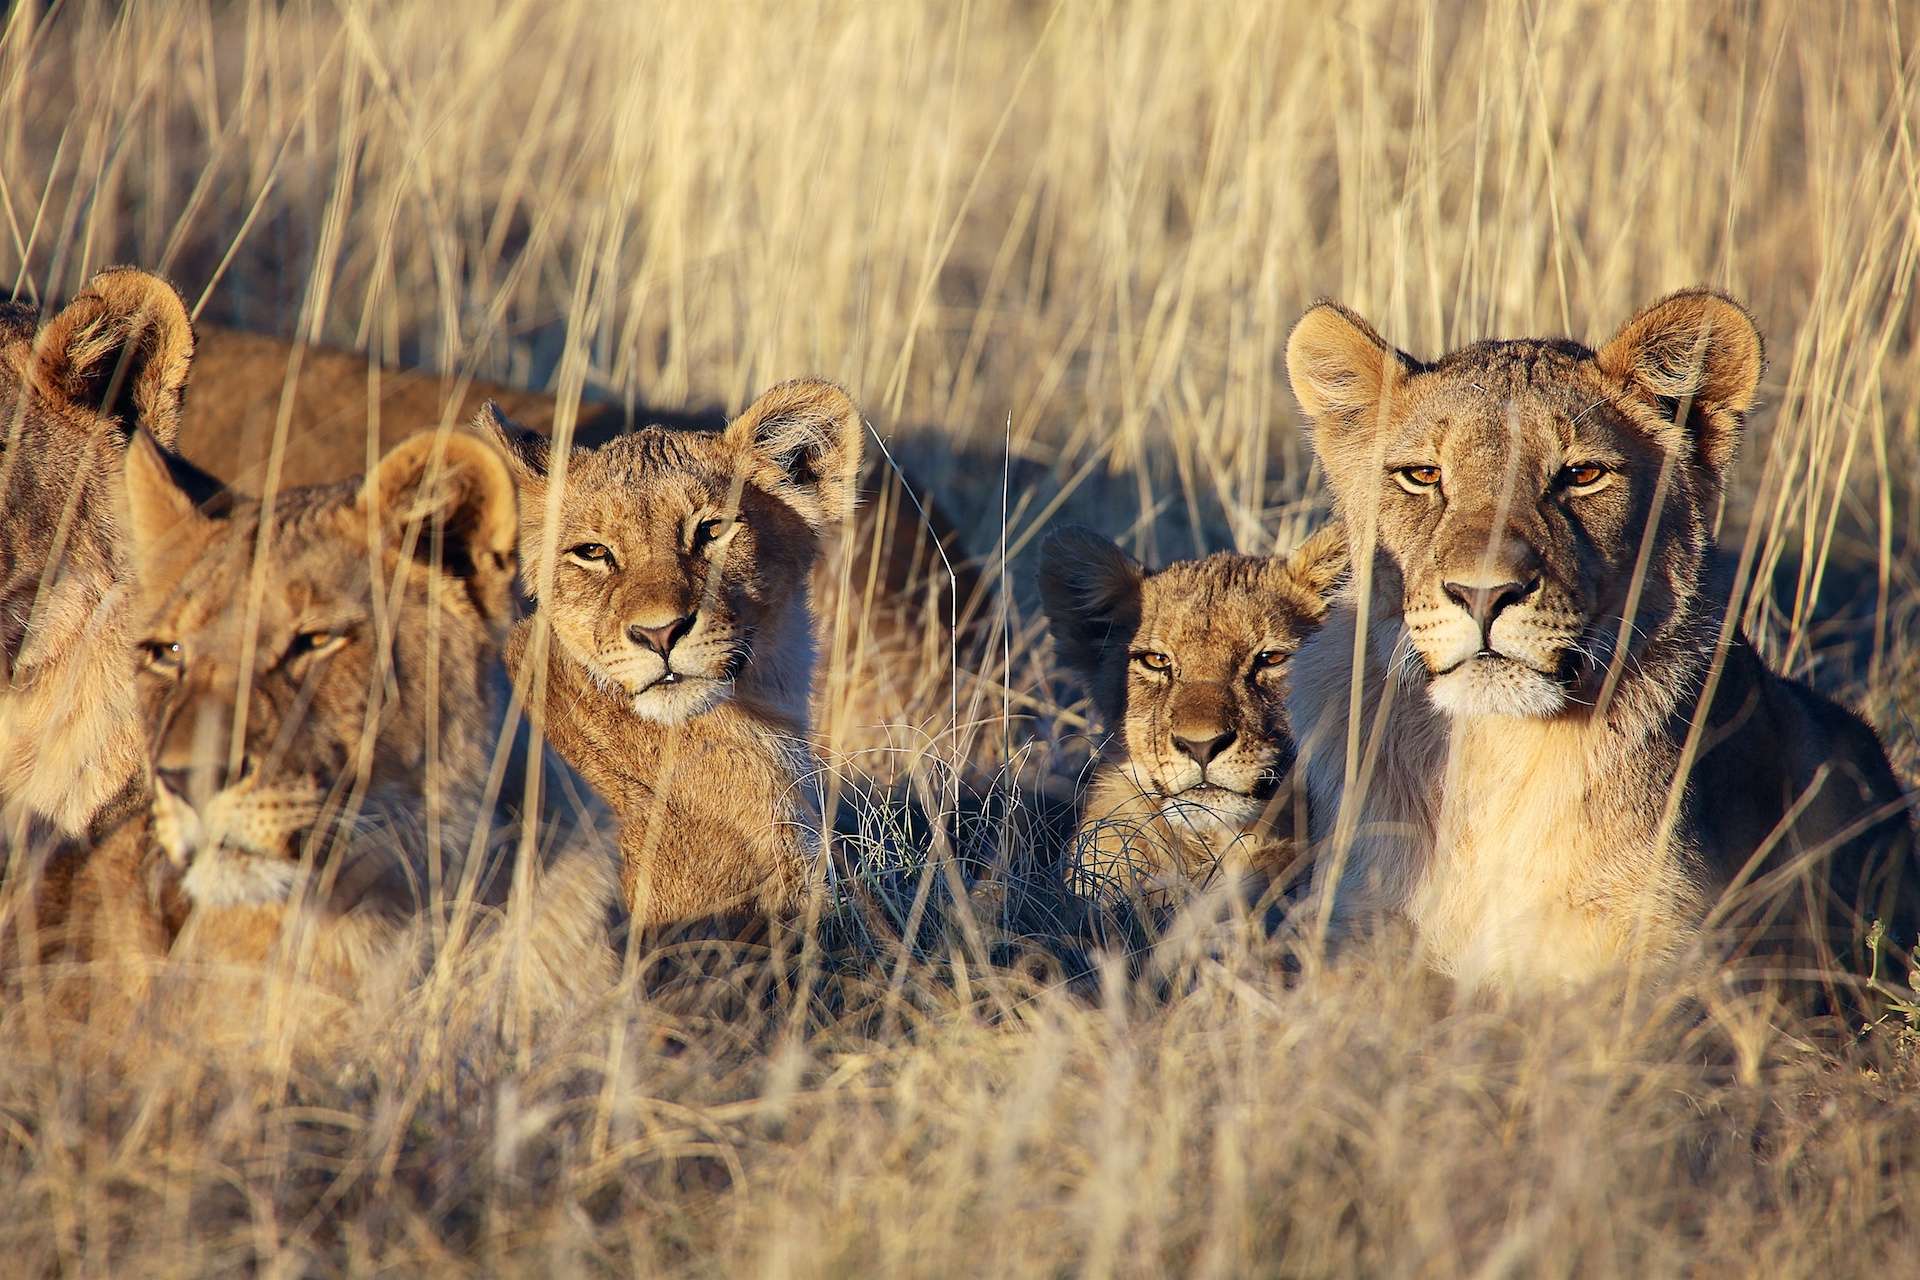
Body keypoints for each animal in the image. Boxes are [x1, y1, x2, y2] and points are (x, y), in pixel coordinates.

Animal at [1282, 289, 1912, 1013]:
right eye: (1422, 475)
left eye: (1581, 475)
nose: (1482, 594)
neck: (1490, 759)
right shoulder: (1351, 933)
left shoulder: (1673, 976)